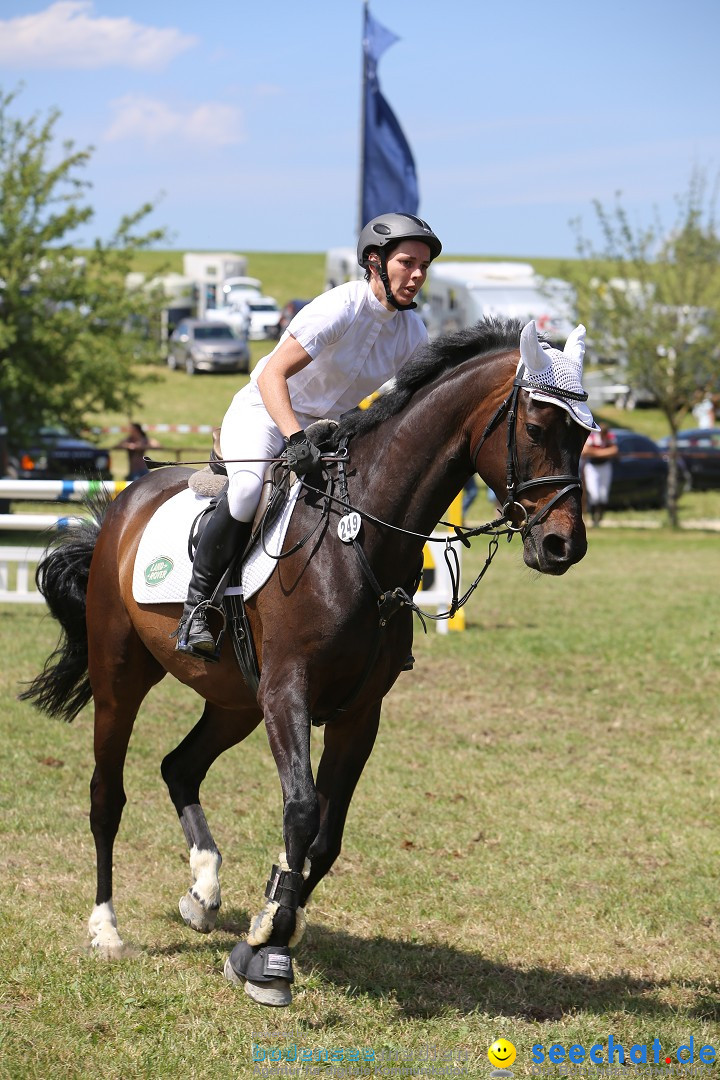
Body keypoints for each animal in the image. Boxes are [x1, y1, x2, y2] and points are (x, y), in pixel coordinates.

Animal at [21, 315, 591, 1006]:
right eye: (535, 428)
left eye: (584, 436)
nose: (563, 546)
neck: (362, 535)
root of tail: (125, 503)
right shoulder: (288, 691)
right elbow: (300, 810)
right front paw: (271, 958)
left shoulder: (357, 712)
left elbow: (326, 835)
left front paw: (263, 934)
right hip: (122, 677)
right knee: (108, 793)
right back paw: (106, 929)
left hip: (236, 700)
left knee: (180, 767)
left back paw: (203, 893)